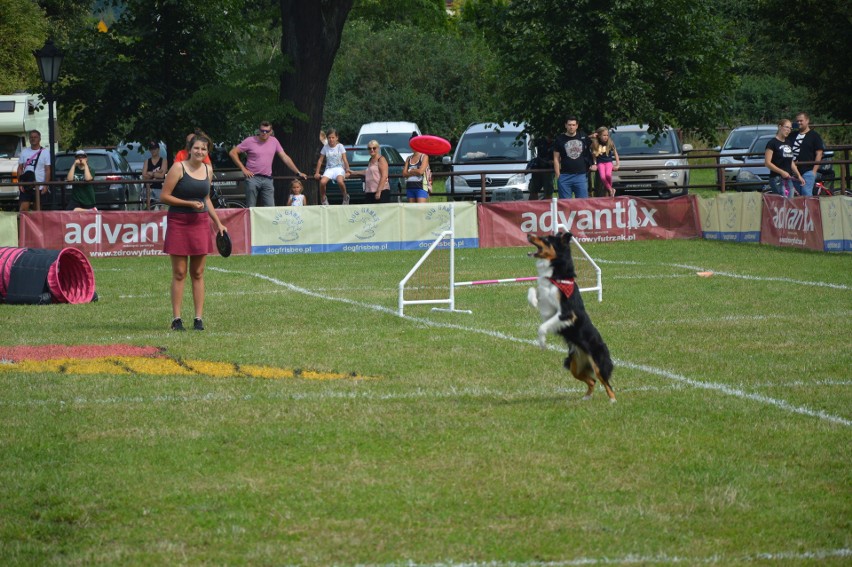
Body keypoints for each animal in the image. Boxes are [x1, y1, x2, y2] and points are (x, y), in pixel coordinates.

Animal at [524, 233, 616, 402]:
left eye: (546, 239)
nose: (528, 234)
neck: (556, 273)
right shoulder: (547, 306)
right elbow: (532, 289)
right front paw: (532, 301)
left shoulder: (566, 314)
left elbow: (542, 327)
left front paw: (542, 343)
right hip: (574, 366)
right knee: (592, 381)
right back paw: (586, 398)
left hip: (597, 363)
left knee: (606, 382)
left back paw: (612, 400)